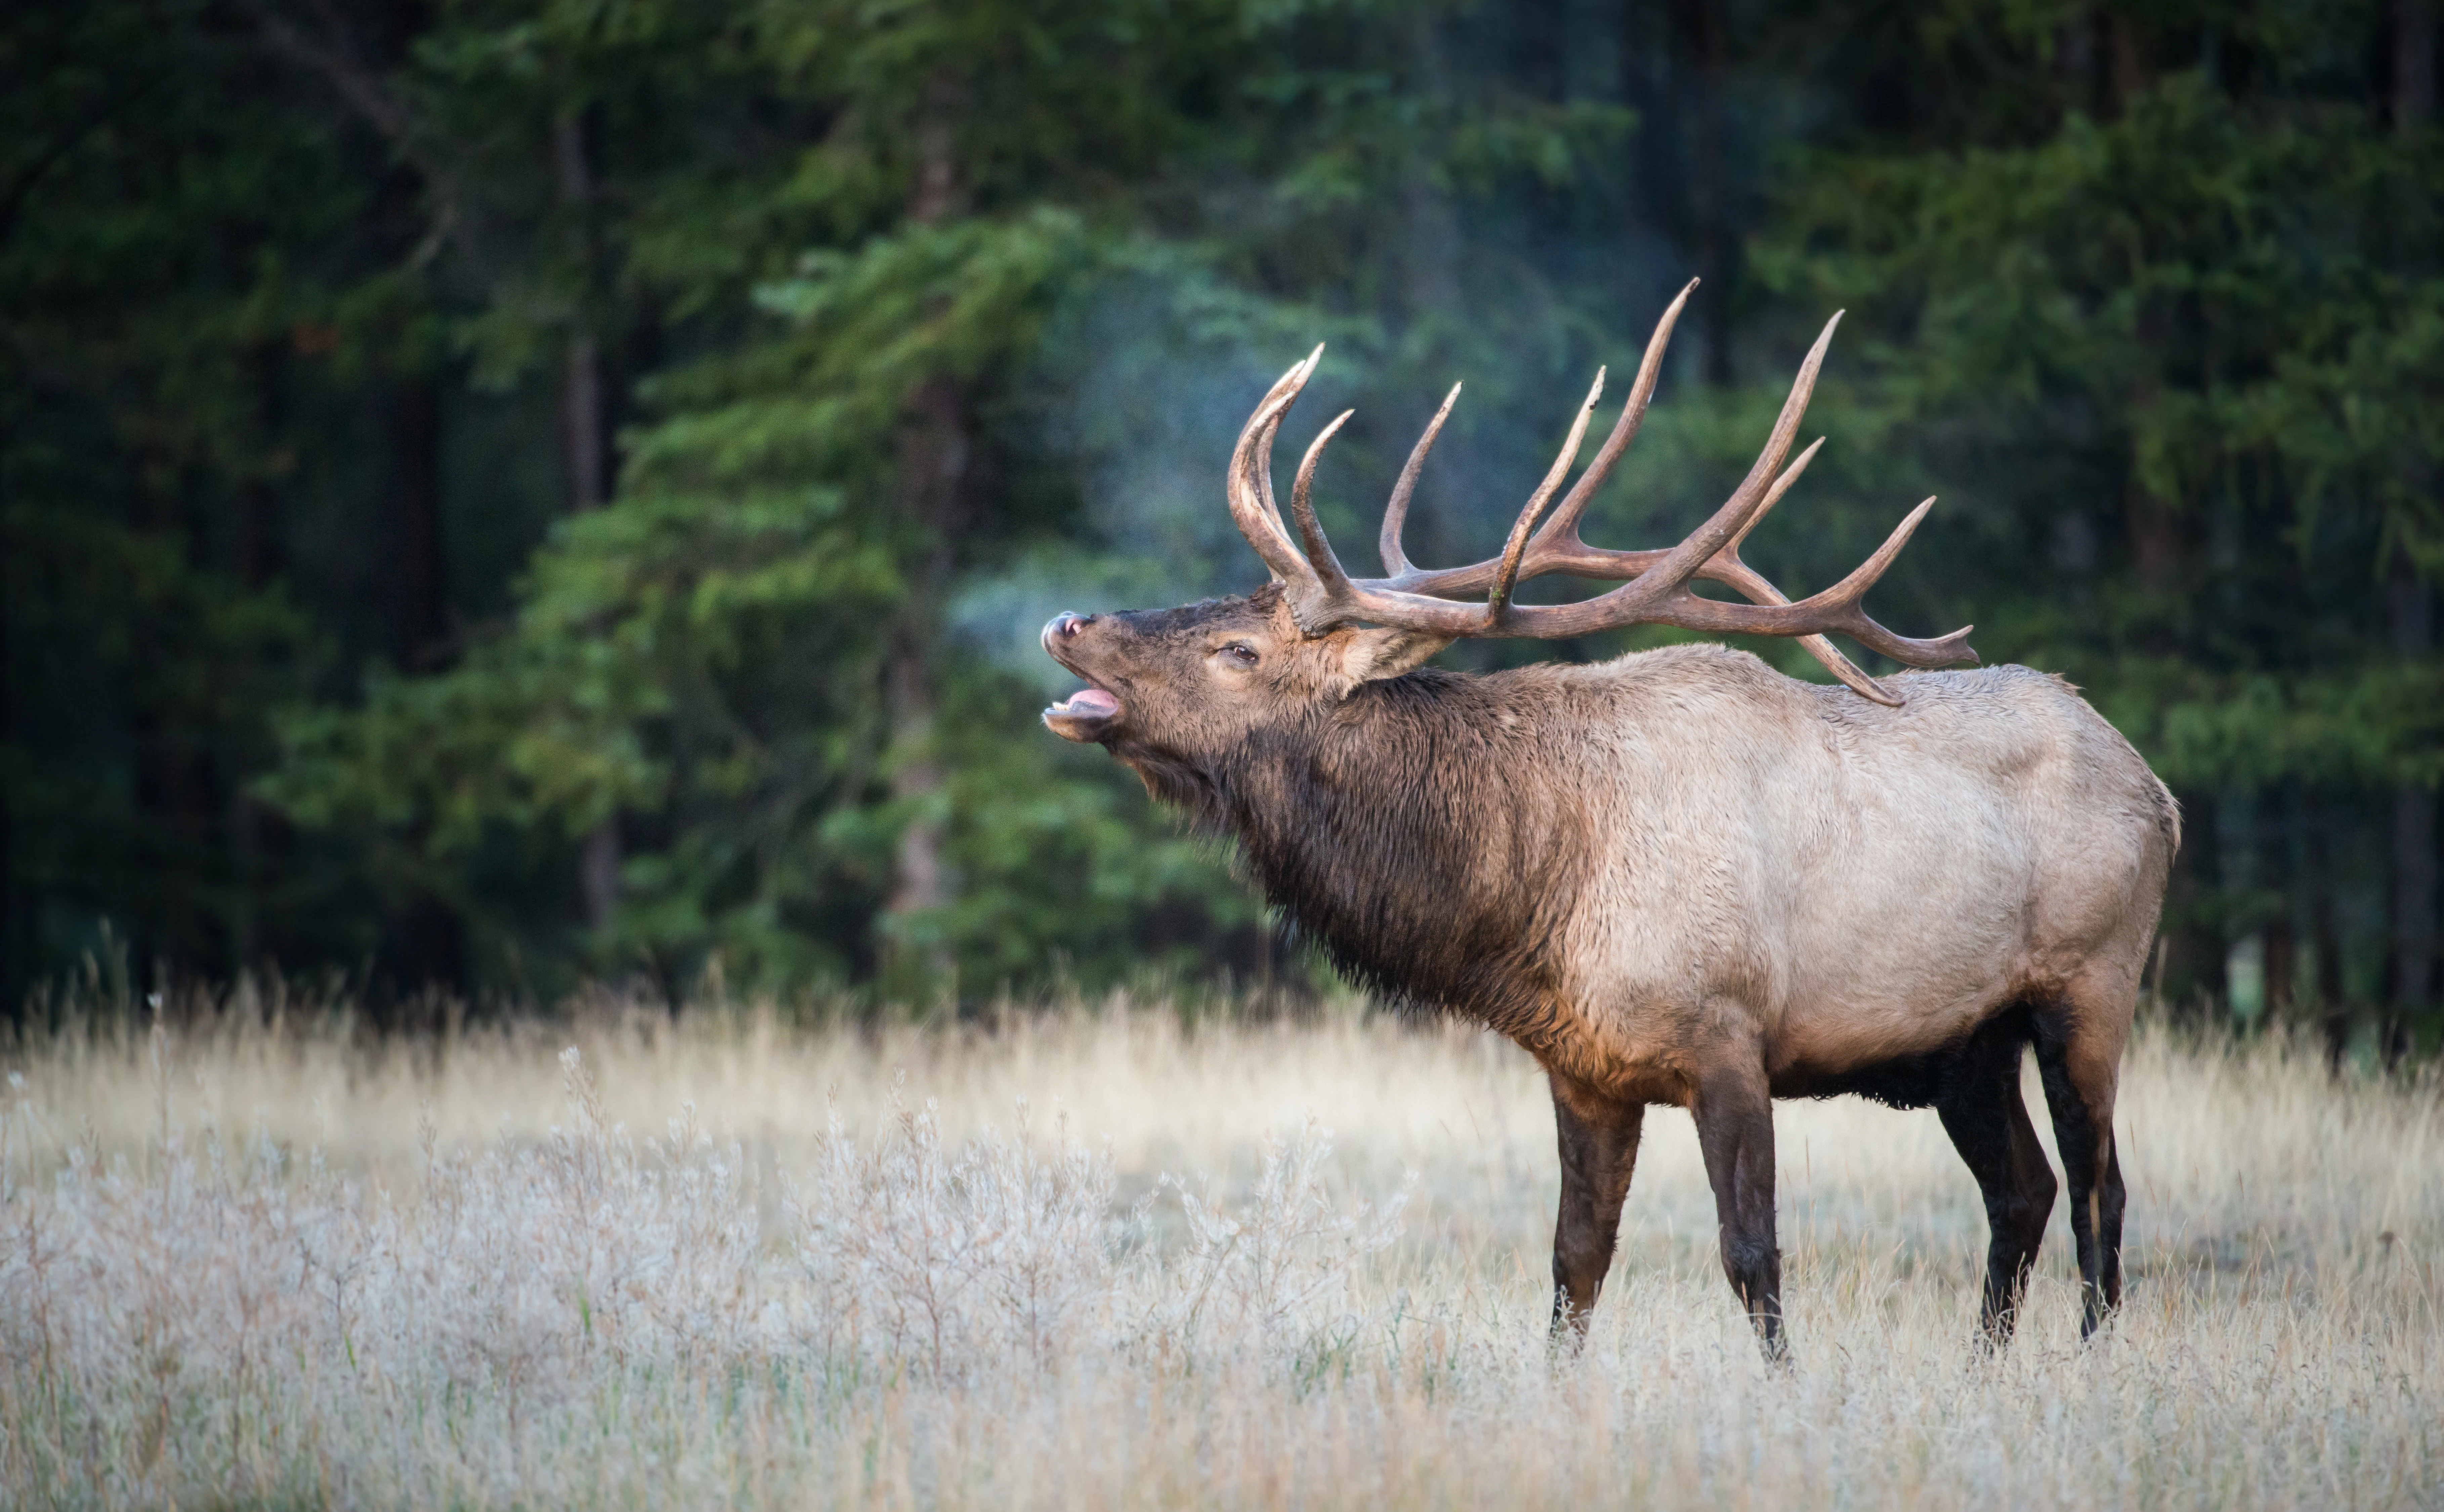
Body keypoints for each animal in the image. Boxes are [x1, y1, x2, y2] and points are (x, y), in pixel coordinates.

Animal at [1031, 287, 2180, 1358]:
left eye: (1237, 649)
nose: (1066, 620)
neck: (1537, 895)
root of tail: (2157, 790)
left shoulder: (1729, 1032)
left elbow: (1751, 1254)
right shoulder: (1583, 1070)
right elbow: (1573, 1262)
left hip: (2089, 983)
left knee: (2099, 1190)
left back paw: (2088, 1360)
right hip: (1965, 1043)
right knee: (2023, 1190)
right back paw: (1986, 1367)